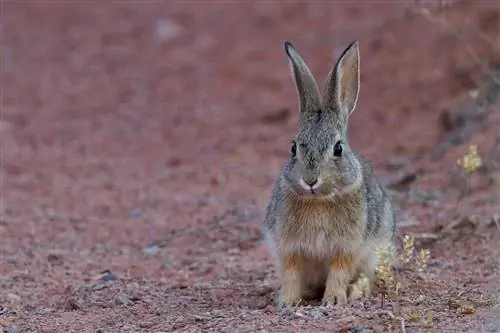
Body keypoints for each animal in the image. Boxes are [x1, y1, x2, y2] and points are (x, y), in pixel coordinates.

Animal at [264, 40, 396, 308]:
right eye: (293, 148)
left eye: (338, 149)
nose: (310, 180)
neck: (319, 201)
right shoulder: (289, 248)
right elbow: (292, 274)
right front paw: (287, 301)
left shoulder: (346, 248)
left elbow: (339, 272)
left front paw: (334, 300)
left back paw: (356, 291)